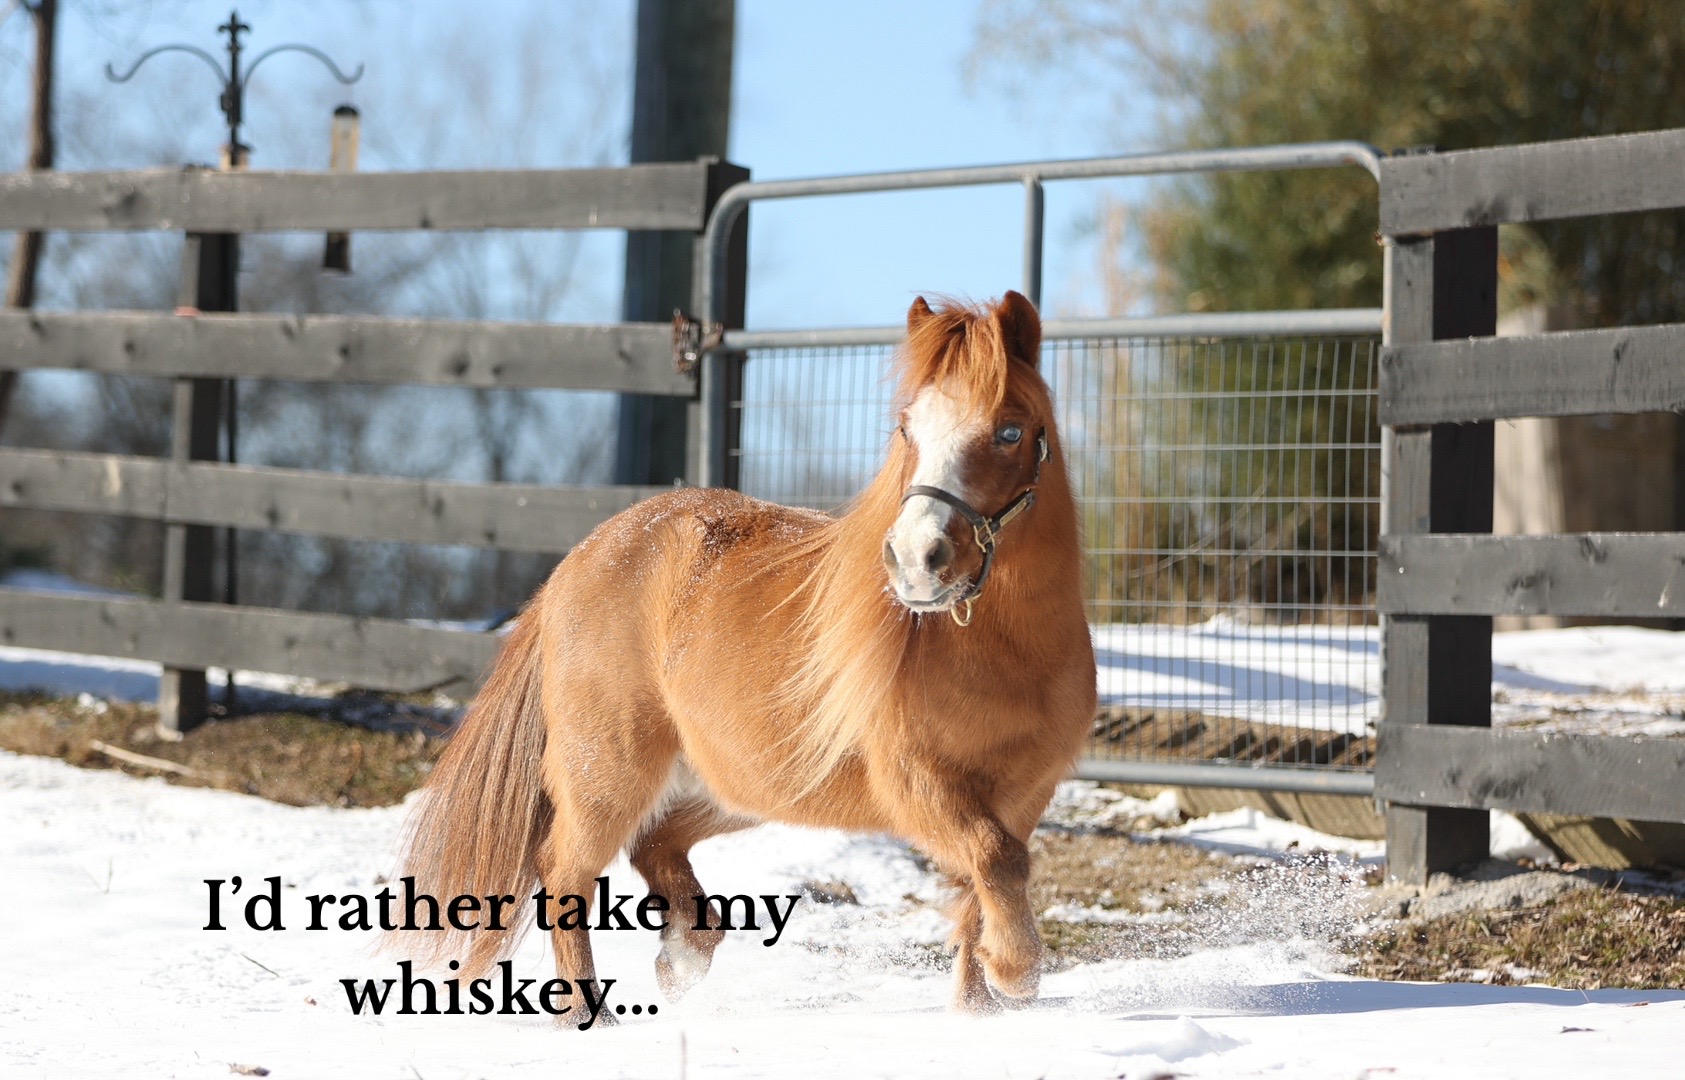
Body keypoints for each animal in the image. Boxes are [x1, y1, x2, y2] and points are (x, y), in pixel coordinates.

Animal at [392, 291, 1097, 1015]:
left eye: (1010, 431)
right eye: (908, 429)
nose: (915, 560)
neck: (1004, 656)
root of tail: (577, 563)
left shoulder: (1026, 792)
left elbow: (983, 885)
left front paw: (978, 1003)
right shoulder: (918, 781)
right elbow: (994, 859)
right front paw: (1016, 970)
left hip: (735, 782)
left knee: (656, 841)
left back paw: (683, 955)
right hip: (609, 770)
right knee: (565, 872)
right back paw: (590, 1014)